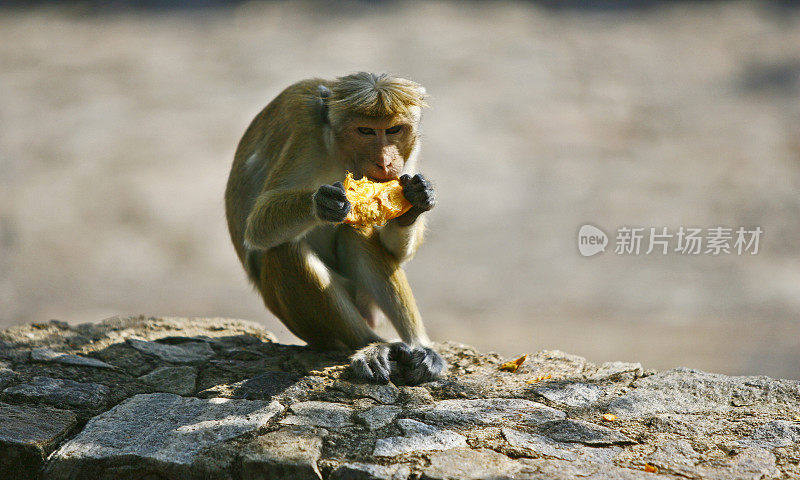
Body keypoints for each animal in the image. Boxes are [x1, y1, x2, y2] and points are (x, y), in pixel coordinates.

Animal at [225, 72, 446, 386]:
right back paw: (375, 345)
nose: (385, 161)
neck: (339, 152)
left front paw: (416, 201)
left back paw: (419, 347)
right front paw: (324, 202)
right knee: (285, 250)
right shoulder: (302, 130)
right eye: (365, 131)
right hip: (302, 323)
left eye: (394, 130)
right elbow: (257, 226)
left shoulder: (409, 153)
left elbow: (396, 247)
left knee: (355, 234)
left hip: (364, 301)